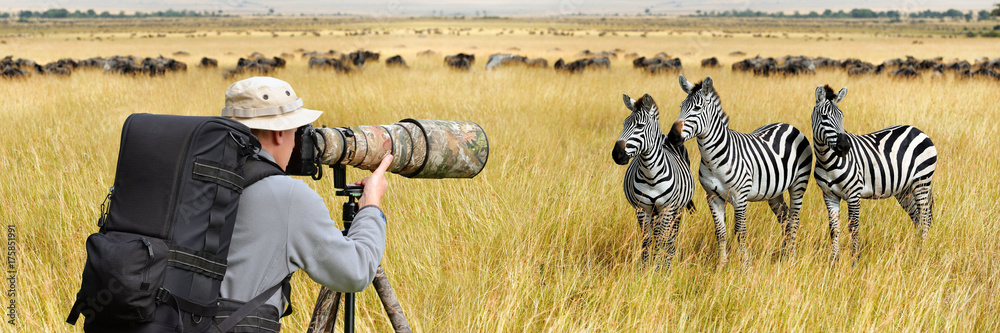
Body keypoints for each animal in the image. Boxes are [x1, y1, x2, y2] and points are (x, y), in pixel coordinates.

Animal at [608, 93, 696, 270]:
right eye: (624, 124)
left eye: (640, 126)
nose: (617, 154)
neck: (651, 175)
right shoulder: (643, 208)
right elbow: (647, 240)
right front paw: (645, 268)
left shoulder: (667, 208)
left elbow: (663, 239)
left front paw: (661, 269)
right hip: (655, 212)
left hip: (677, 210)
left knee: (671, 237)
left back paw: (668, 260)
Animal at [664, 75, 812, 264]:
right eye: (681, 107)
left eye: (697, 108)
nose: (672, 136)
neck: (713, 159)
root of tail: (787, 125)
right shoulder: (712, 198)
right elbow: (721, 233)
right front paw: (721, 265)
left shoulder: (740, 197)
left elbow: (740, 232)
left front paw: (745, 266)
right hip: (774, 192)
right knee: (785, 218)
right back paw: (784, 255)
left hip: (799, 184)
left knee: (793, 220)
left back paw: (791, 258)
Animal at [812, 85, 936, 262]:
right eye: (824, 117)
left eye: (842, 116)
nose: (845, 147)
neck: (827, 161)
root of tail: (918, 130)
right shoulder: (829, 195)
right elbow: (834, 228)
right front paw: (834, 261)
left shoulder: (854, 193)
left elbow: (854, 227)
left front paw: (854, 260)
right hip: (904, 189)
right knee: (917, 219)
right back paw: (915, 252)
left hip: (922, 182)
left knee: (925, 219)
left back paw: (922, 254)